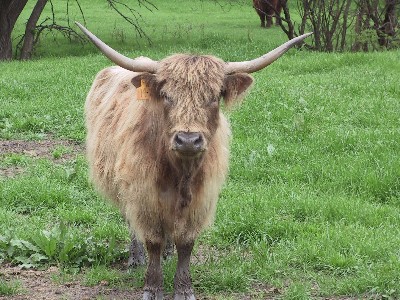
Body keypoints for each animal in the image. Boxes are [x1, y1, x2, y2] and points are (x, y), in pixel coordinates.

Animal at [76, 22, 310, 300]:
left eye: (214, 96)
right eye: (167, 95)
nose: (188, 140)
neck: (179, 173)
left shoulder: (199, 199)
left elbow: (185, 243)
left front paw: (184, 289)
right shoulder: (143, 195)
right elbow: (152, 240)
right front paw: (152, 288)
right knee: (130, 220)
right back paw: (135, 258)